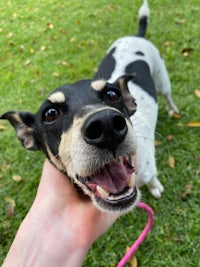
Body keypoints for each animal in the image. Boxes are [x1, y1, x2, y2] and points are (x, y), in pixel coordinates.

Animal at [0, 0, 179, 214]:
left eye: (112, 94)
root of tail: (136, 36)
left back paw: (172, 109)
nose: (106, 125)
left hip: (162, 79)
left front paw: (155, 187)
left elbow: (152, 179)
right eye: (50, 114)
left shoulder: (148, 169)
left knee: (168, 96)